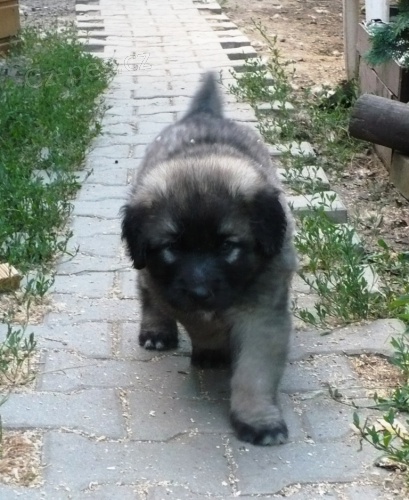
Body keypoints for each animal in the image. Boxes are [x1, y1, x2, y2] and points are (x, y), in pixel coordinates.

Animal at [121, 72, 297, 445]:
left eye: (227, 246)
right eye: (173, 247)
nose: (200, 292)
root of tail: (204, 113)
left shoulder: (264, 312)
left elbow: (254, 372)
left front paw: (258, 419)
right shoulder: (177, 294)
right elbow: (202, 325)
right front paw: (213, 350)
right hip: (149, 273)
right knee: (146, 291)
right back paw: (156, 329)